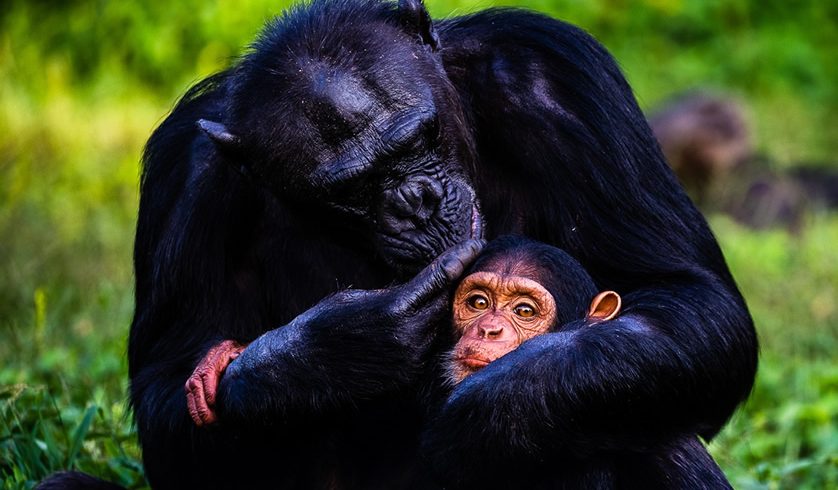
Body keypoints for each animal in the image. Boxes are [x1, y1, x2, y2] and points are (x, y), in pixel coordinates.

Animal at [126, 0, 760, 488]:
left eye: (417, 139)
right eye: (354, 188)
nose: (418, 200)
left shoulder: (559, 76)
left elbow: (688, 292)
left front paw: (496, 410)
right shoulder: (187, 175)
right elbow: (168, 389)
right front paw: (336, 348)